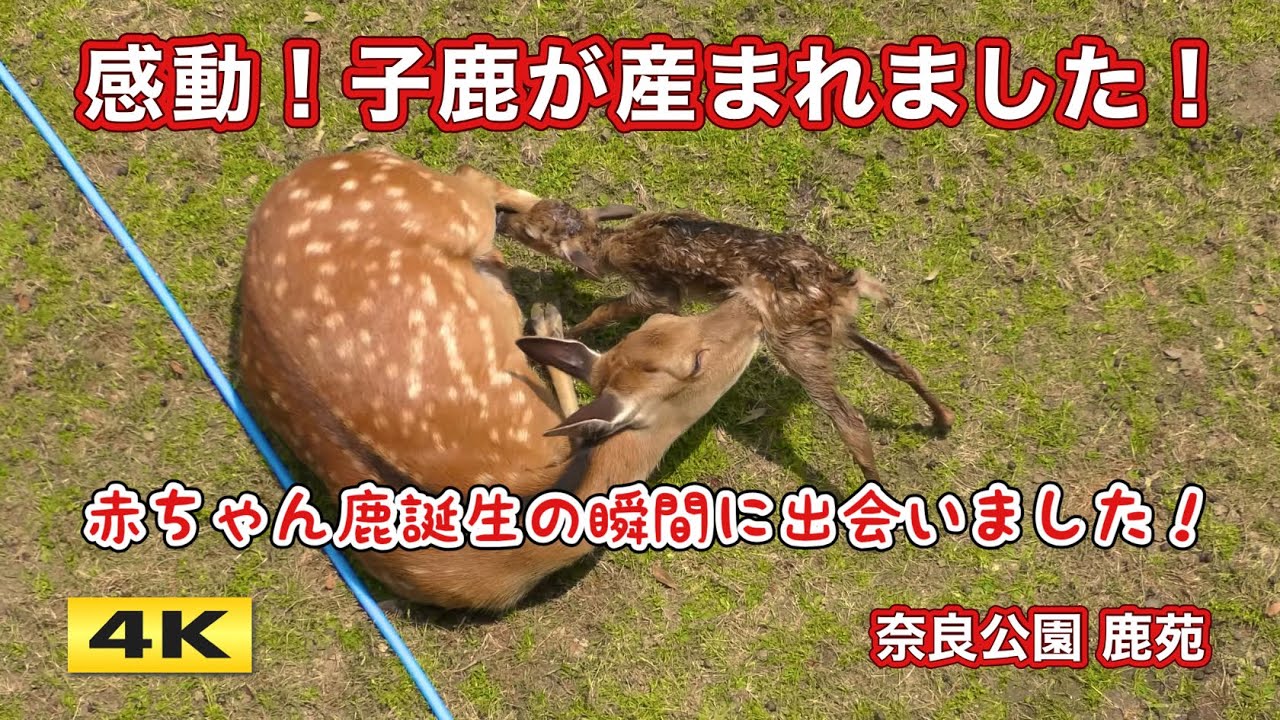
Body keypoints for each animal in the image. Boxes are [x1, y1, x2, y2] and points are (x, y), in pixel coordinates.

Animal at [235, 148, 764, 612]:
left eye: (661, 323)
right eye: (694, 362)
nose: (749, 307)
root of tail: (319, 165)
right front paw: (546, 316)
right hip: (454, 211)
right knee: (473, 181)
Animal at [495, 201, 956, 485]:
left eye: (532, 231)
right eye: (536, 206)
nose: (500, 217)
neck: (615, 245)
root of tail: (845, 285)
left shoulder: (658, 292)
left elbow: (608, 311)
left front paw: (567, 330)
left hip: (792, 338)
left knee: (851, 419)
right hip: (827, 328)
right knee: (895, 359)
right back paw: (942, 419)